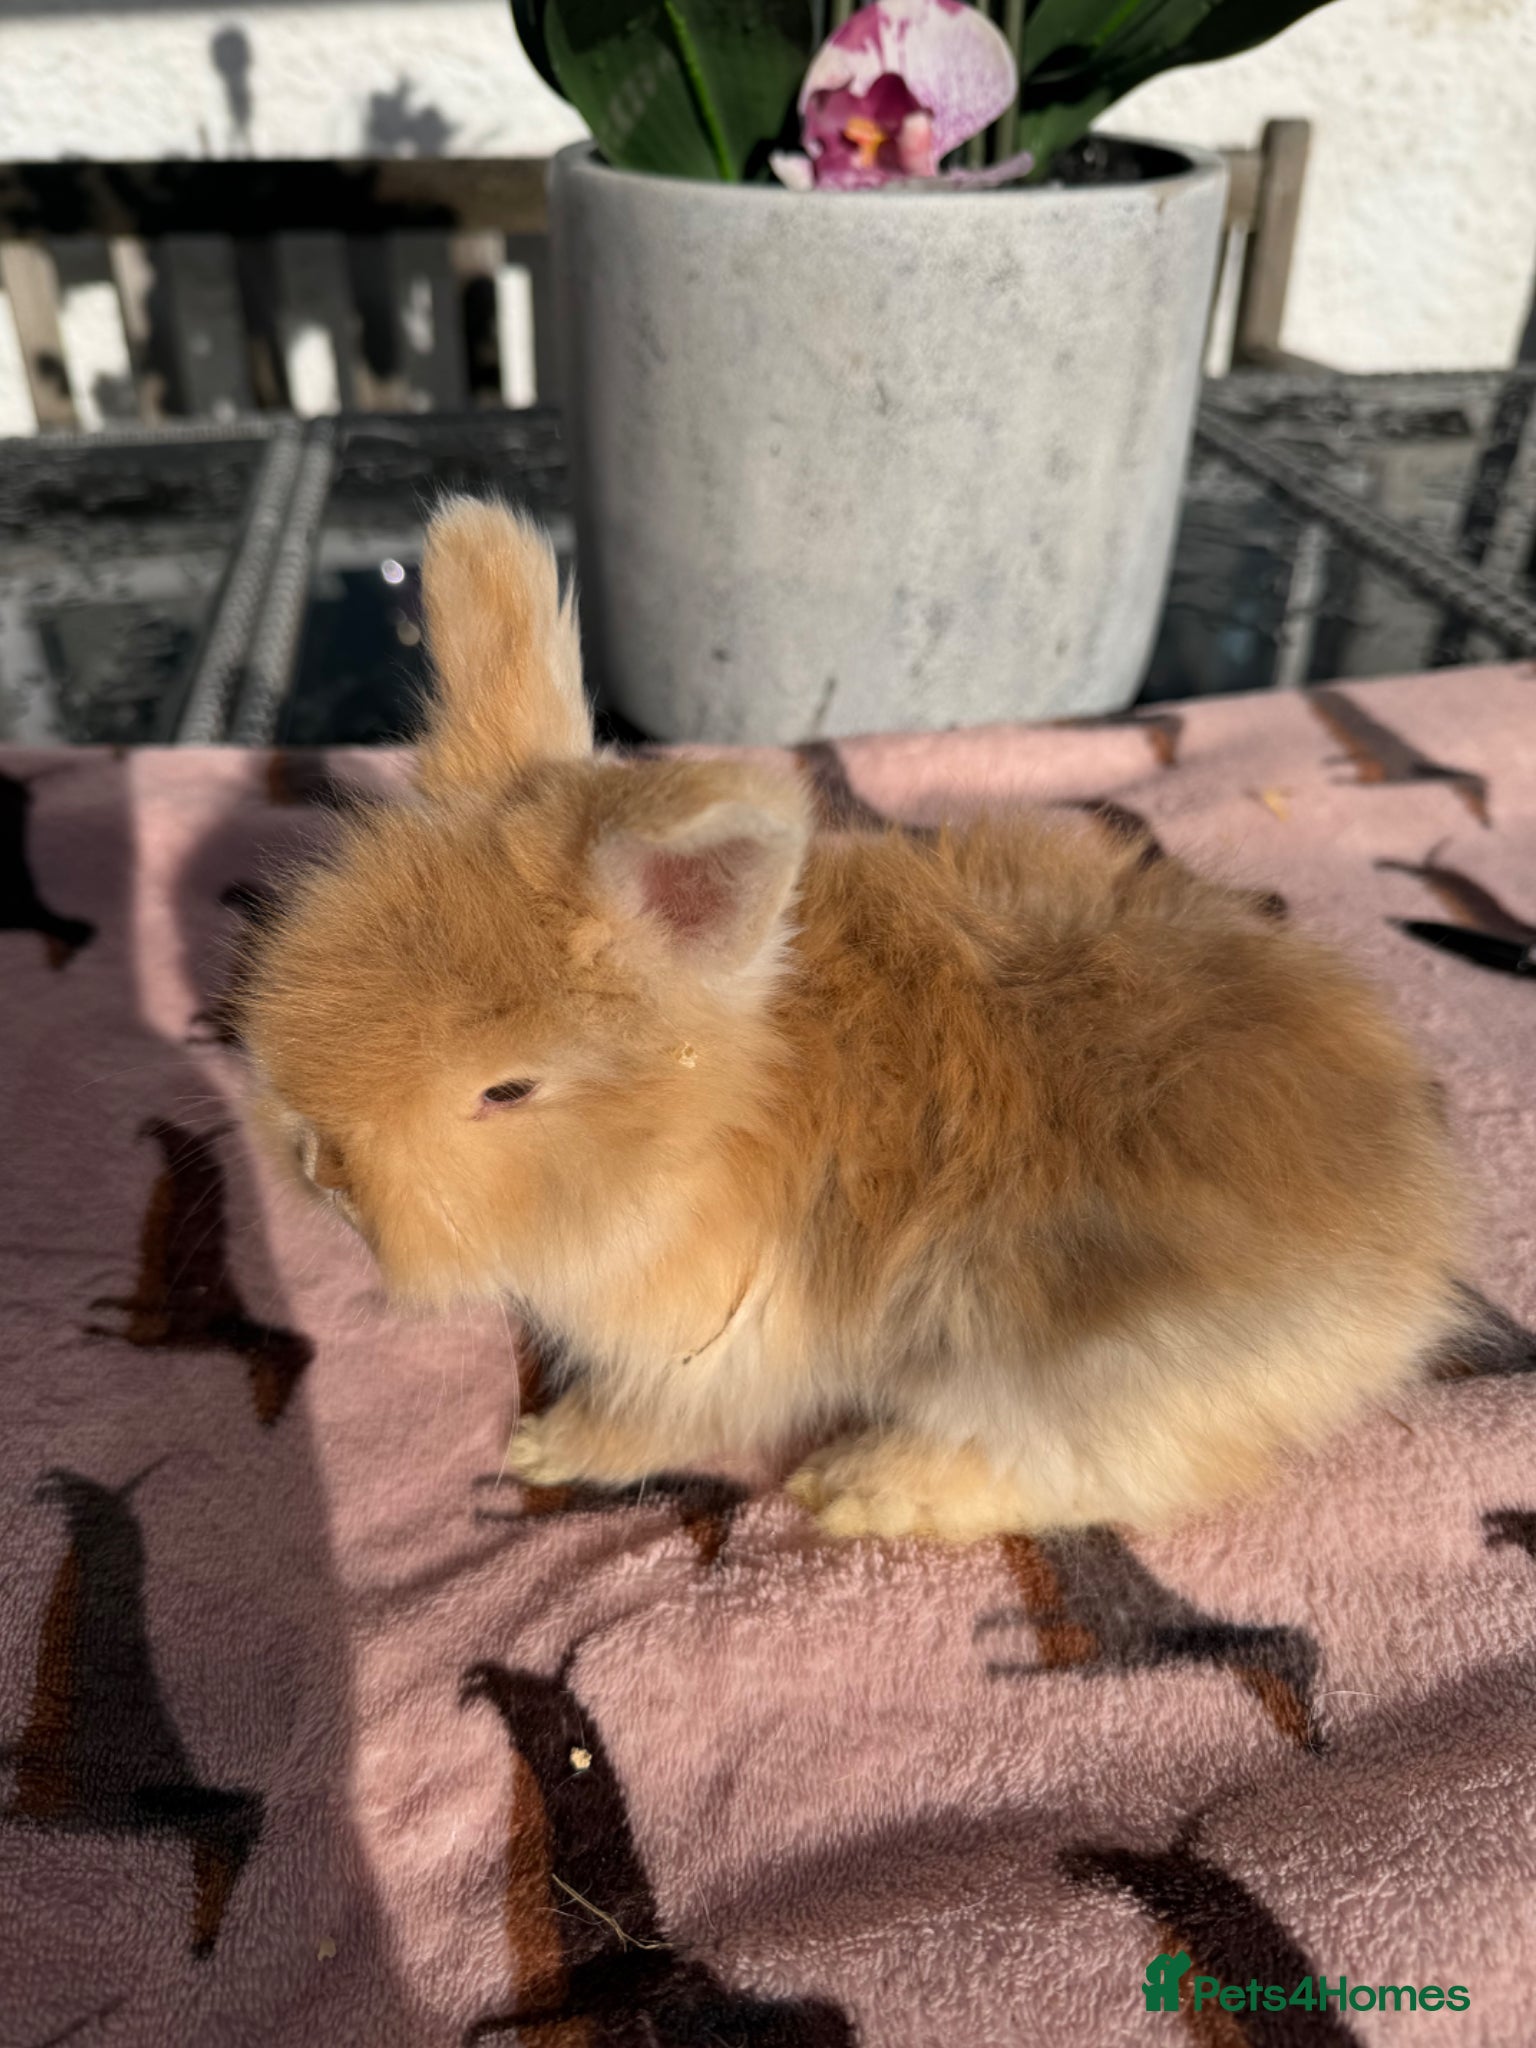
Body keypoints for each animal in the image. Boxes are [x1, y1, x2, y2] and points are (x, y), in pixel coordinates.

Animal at [240, 497, 1469, 1542]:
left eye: (508, 1089)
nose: (319, 1169)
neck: (704, 1123)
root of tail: (1411, 1261)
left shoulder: (710, 1355)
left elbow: (650, 1426)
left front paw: (544, 1447)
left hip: (1077, 1367)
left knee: (1094, 1471)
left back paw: (859, 1487)